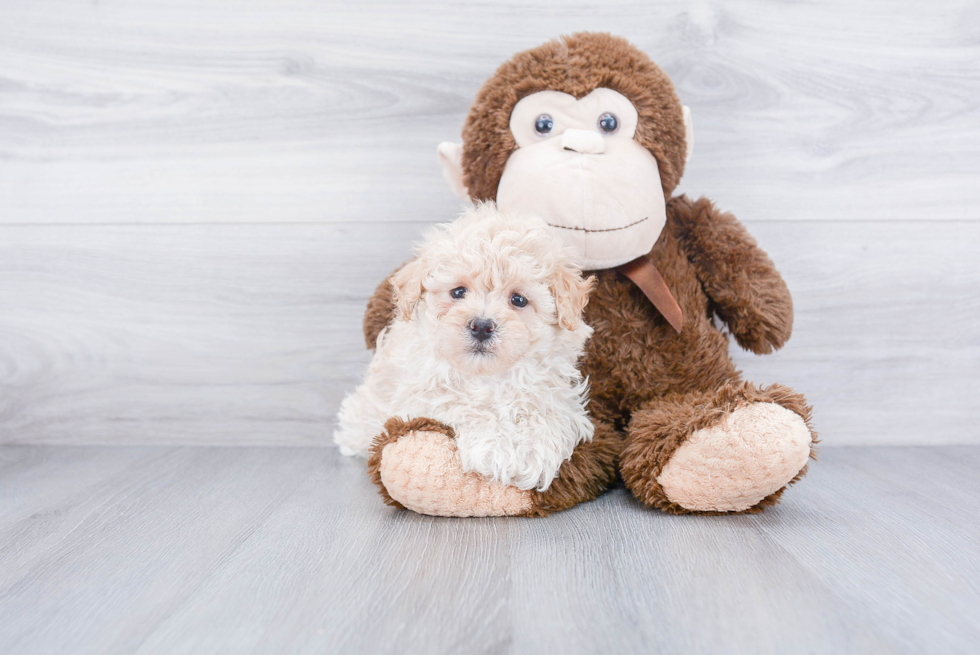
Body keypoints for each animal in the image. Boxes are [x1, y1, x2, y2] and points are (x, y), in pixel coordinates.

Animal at [334, 205, 596, 492]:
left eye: (518, 299)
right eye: (458, 292)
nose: (481, 326)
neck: (488, 377)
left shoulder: (555, 392)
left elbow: (547, 413)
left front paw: (532, 452)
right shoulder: (421, 393)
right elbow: (462, 404)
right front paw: (497, 448)